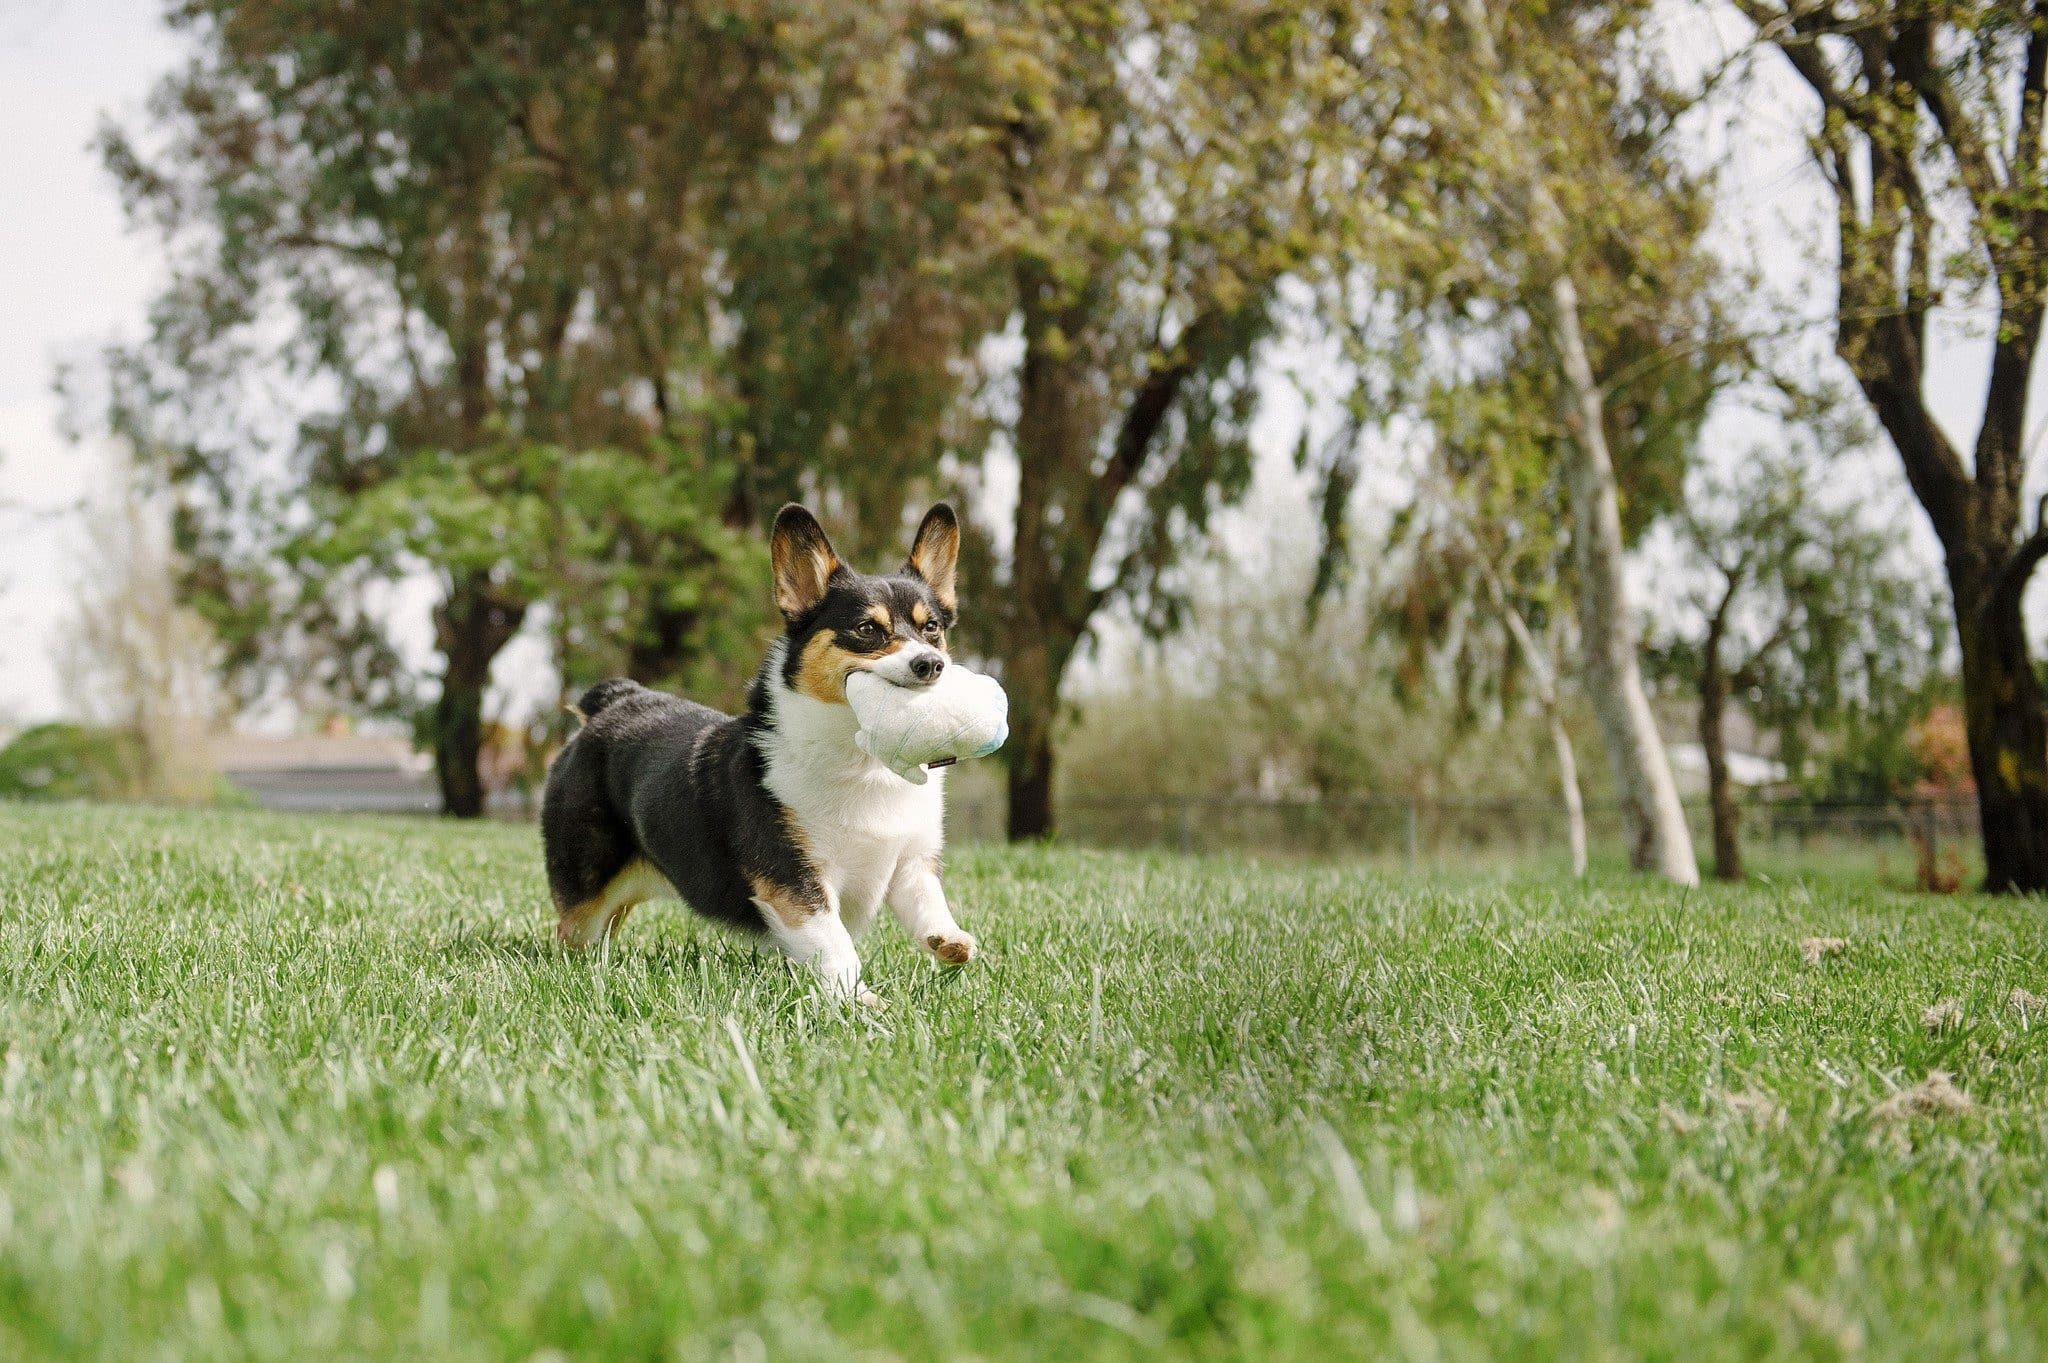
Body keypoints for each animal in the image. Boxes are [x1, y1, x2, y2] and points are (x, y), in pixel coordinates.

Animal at [544, 499, 974, 998]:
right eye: (868, 629)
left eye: (932, 629)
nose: (931, 664)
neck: (863, 762)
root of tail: (613, 702)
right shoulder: (794, 882)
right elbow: (835, 944)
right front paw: (861, 1000)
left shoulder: (909, 862)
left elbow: (928, 903)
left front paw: (950, 942)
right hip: (586, 881)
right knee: (573, 928)